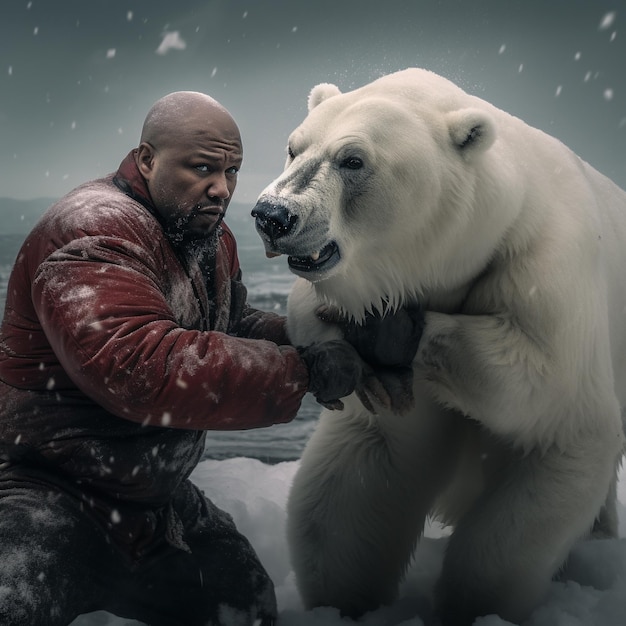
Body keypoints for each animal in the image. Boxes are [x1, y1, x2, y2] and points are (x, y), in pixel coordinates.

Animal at [249, 66, 624, 620]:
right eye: (294, 148)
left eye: (353, 159)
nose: (273, 214)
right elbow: (361, 476)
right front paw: (345, 605)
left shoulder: (544, 272)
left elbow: (546, 396)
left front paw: (474, 606)